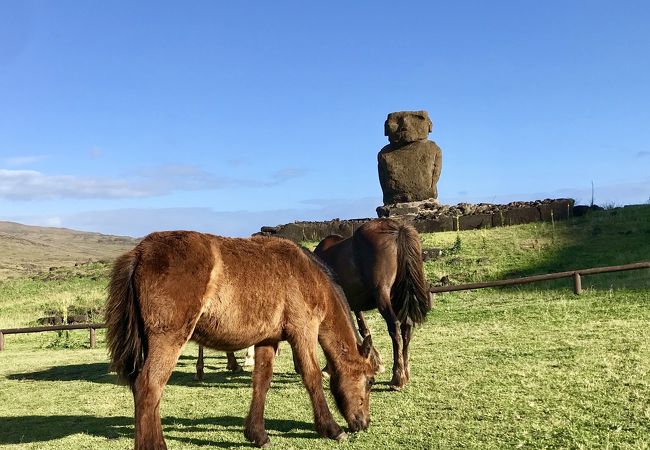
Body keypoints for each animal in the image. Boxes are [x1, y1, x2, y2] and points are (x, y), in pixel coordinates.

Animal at [104, 232, 372, 450]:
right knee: (149, 386)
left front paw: (258, 434)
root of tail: (140, 253)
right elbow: (312, 376)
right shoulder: (303, 331)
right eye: (369, 382)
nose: (364, 423)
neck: (307, 275)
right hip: (168, 340)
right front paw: (331, 428)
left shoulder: (267, 340)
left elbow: (261, 382)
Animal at [314, 218, 430, 390]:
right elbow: (363, 329)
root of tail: (398, 229)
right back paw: (405, 372)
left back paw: (398, 378)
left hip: (382, 294)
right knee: (406, 326)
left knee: (395, 326)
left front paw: (328, 369)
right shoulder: (354, 304)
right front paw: (375, 362)